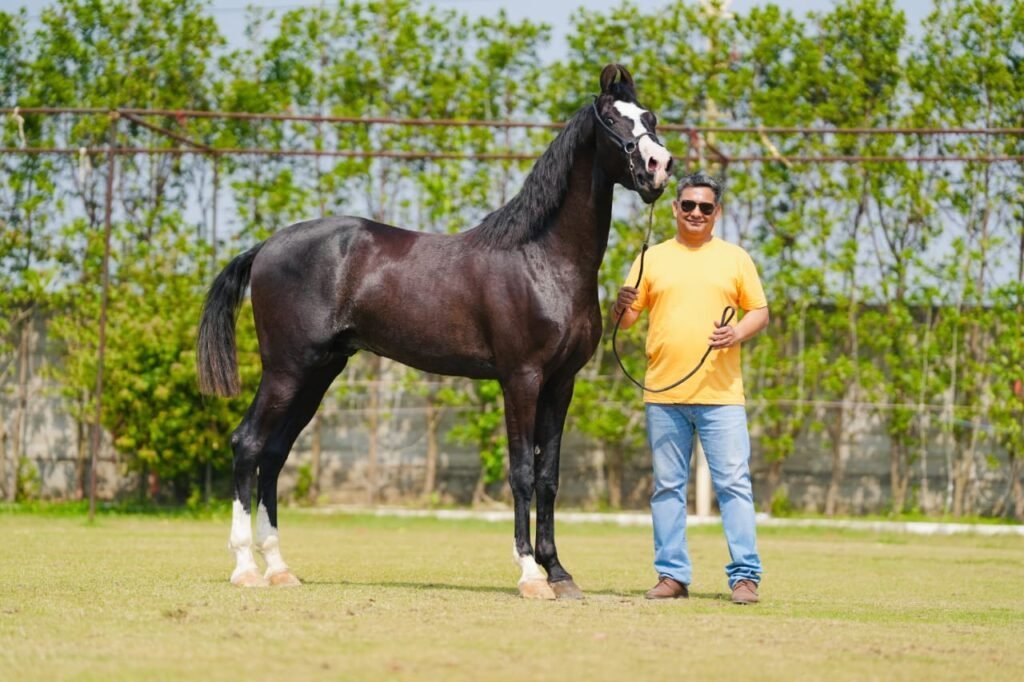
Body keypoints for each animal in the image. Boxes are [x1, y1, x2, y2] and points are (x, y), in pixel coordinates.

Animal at [197, 63, 672, 599]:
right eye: (612, 121)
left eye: (650, 117)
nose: (659, 166)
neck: (542, 257)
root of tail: (265, 247)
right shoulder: (521, 379)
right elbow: (522, 473)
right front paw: (531, 574)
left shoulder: (560, 383)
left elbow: (549, 477)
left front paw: (559, 572)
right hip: (286, 369)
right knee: (248, 444)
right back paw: (246, 567)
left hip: (318, 373)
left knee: (274, 454)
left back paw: (279, 567)